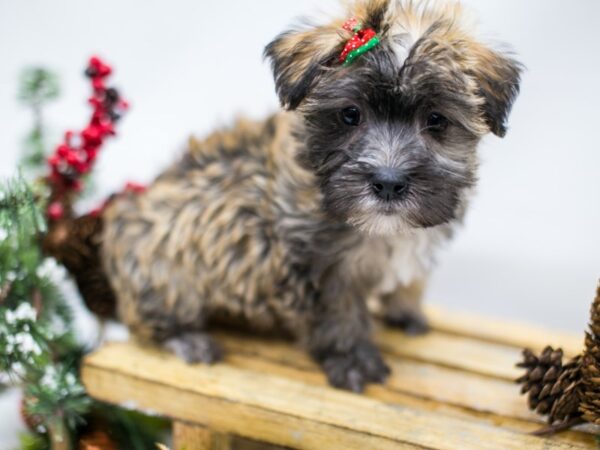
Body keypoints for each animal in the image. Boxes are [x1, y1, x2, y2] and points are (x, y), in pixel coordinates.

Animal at [102, 0, 520, 392]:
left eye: (436, 120)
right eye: (350, 115)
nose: (388, 182)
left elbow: (408, 281)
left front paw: (406, 310)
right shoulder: (315, 267)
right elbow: (339, 316)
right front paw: (352, 361)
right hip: (161, 262)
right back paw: (187, 339)